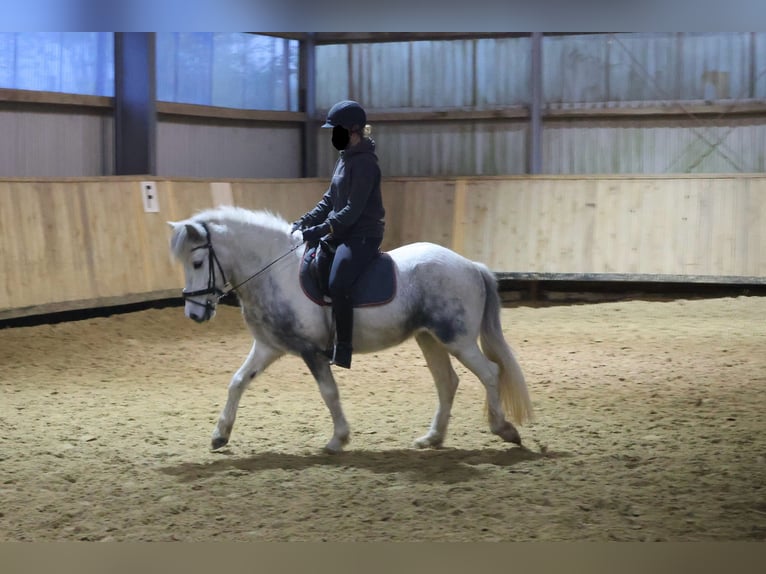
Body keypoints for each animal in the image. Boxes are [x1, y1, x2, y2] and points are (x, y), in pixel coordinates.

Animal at [168, 205, 533, 453]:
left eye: (197, 263)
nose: (194, 314)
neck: (275, 272)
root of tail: (470, 265)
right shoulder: (269, 346)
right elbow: (238, 381)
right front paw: (220, 435)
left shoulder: (311, 351)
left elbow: (329, 393)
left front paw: (337, 440)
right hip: (429, 338)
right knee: (447, 382)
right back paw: (432, 438)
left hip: (457, 339)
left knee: (489, 373)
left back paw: (504, 429)